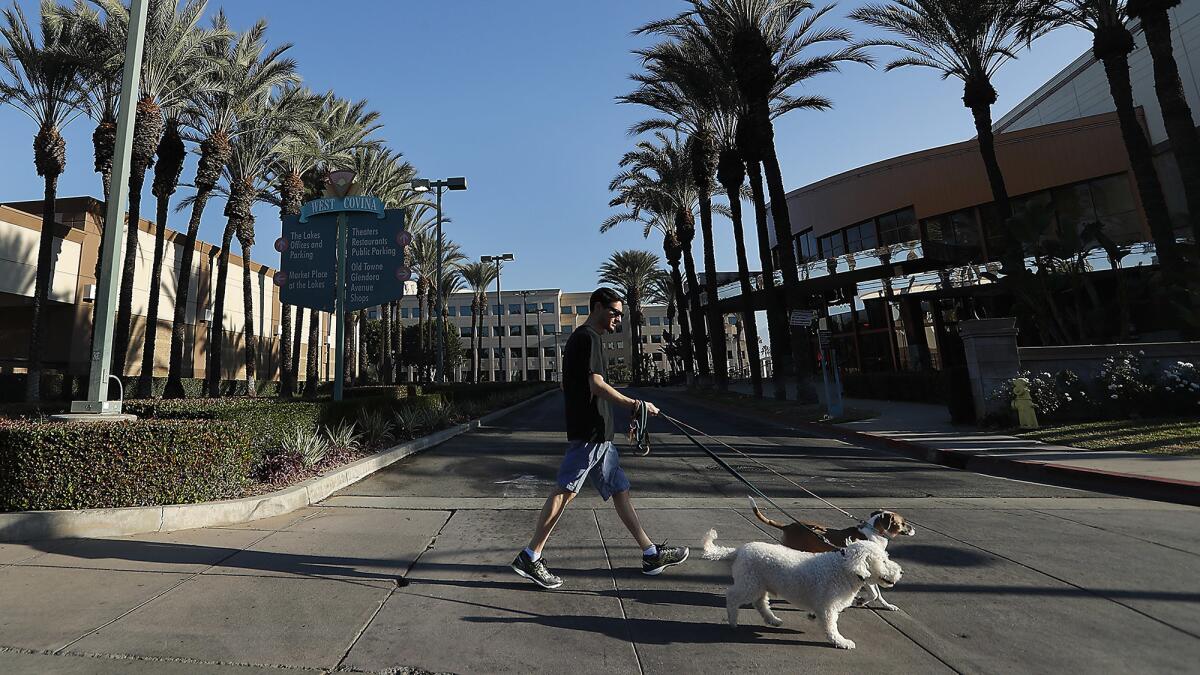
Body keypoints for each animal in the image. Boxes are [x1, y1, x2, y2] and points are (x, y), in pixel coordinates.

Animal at [700, 526, 902, 648]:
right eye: (884, 561)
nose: (901, 572)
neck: (844, 568)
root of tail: (740, 550)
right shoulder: (829, 607)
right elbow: (831, 626)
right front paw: (841, 641)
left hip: (759, 584)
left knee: (760, 603)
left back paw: (772, 619)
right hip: (749, 584)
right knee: (732, 596)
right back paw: (733, 620)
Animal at [744, 494, 912, 610]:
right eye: (903, 523)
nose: (913, 528)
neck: (875, 532)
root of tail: (788, 526)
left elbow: (879, 593)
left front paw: (887, 605)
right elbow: (874, 593)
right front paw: (862, 601)